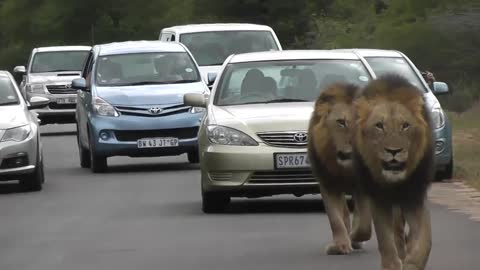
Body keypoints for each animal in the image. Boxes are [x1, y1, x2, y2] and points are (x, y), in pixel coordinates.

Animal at [308, 82, 376, 255]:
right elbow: (335, 219)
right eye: (341, 122)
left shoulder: (362, 187)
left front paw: (354, 238)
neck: (345, 170)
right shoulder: (328, 184)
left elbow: (364, 225)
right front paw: (340, 245)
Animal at [350, 74, 436, 270]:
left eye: (405, 125)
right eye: (379, 126)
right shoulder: (379, 198)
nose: (393, 151)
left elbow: (425, 238)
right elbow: (385, 239)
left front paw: (413, 263)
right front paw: (392, 264)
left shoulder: (415, 195)